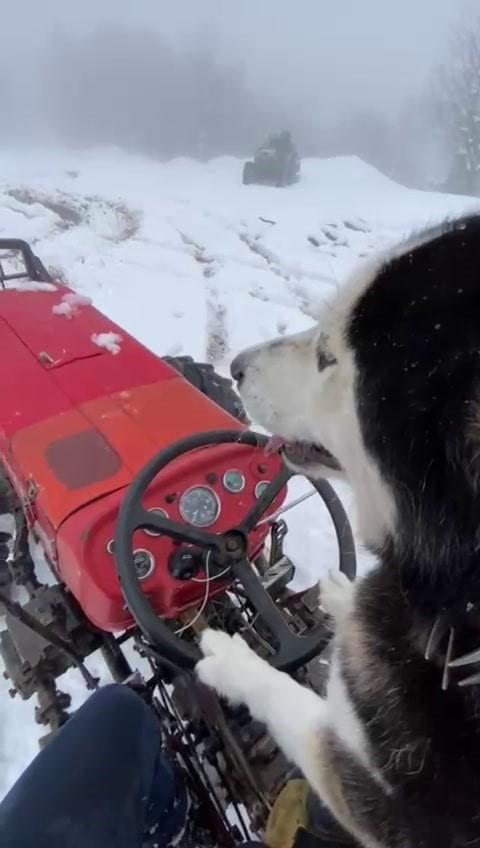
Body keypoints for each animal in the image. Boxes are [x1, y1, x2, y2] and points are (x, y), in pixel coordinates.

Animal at [198, 217, 480, 848]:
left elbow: (288, 700)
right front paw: (340, 593)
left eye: (329, 355)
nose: (236, 366)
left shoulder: (364, 786)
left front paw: (231, 662)